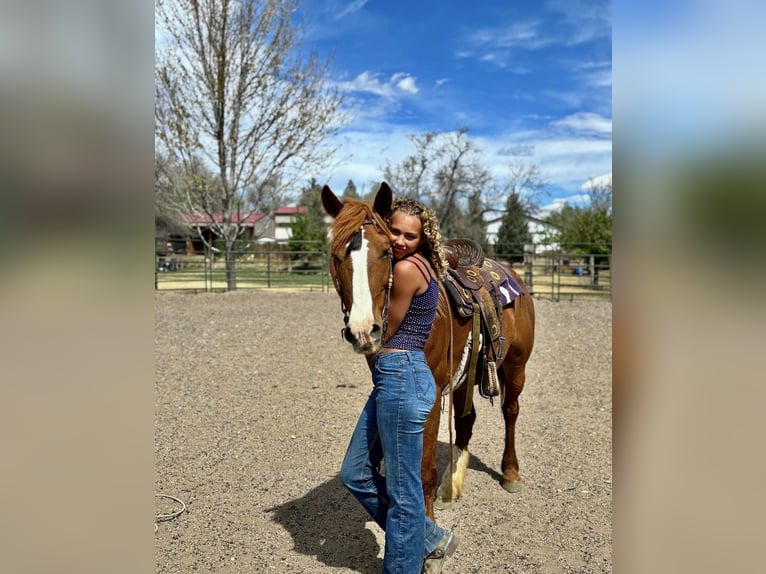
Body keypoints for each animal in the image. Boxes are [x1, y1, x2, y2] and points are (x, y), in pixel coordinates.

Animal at [321, 182, 535, 521]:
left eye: (386, 251)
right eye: (335, 256)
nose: (363, 330)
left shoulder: (431, 395)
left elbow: (424, 470)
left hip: (516, 366)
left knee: (510, 411)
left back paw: (510, 473)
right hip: (465, 375)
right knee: (466, 420)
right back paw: (452, 485)